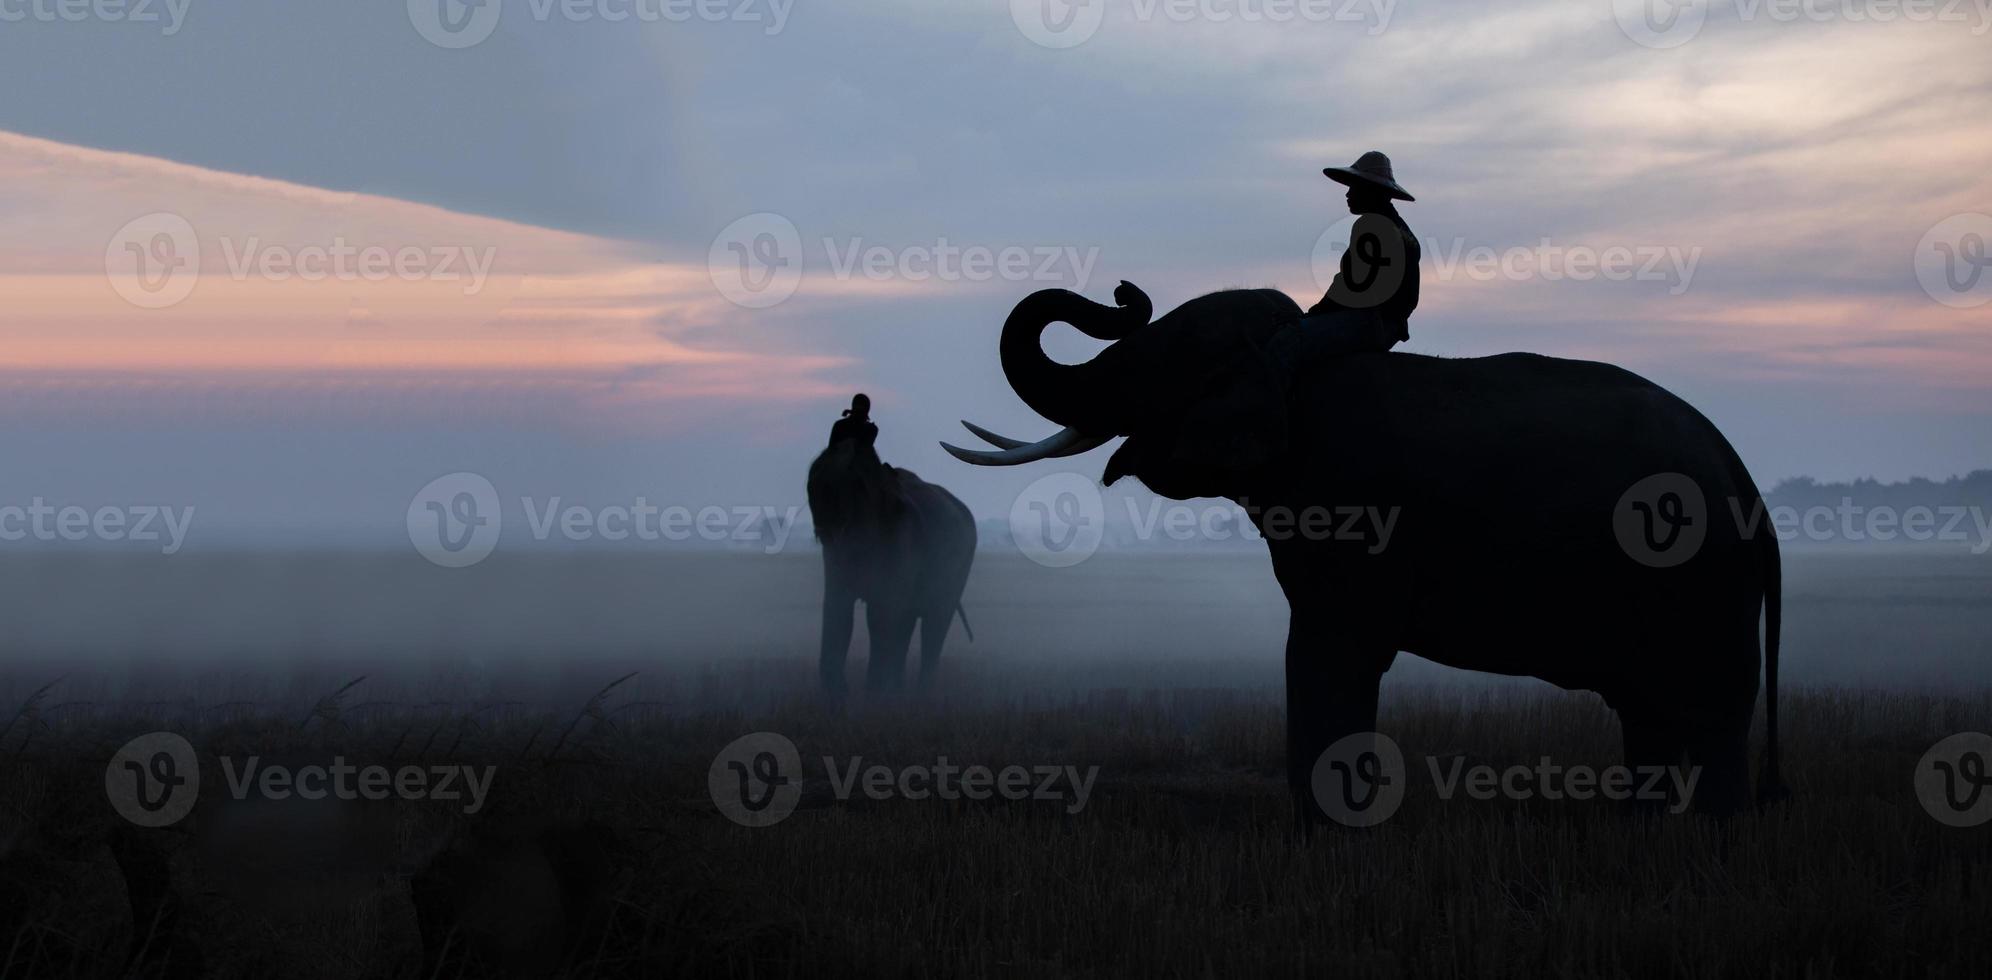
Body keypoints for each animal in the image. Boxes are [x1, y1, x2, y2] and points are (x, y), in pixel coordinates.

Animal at [800, 440, 972, 693]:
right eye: (814, 476)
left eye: (857, 484)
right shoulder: (833, 556)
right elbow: (837, 610)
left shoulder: (901, 539)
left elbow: (881, 615)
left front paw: (874, 692)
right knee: (908, 623)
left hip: (958, 565)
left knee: (934, 624)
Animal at [948, 280, 1792, 820]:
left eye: (1168, 359)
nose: (1124, 294)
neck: (1293, 361)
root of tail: (1744, 479)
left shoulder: (1351, 513)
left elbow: (1327, 654)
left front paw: (1325, 834)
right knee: (1649, 713)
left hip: (1700, 584)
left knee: (1707, 714)